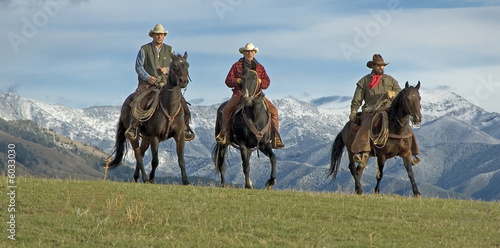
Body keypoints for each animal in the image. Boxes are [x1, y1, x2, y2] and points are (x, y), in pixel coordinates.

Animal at [106, 51, 190, 184]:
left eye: (187, 65)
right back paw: (145, 178)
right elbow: (155, 161)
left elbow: (181, 160)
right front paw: (151, 179)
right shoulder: (155, 136)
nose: (183, 81)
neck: (169, 108)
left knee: (141, 151)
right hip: (134, 135)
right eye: (175, 65)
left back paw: (136, 177)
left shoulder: (179, 135)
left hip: (146, 137)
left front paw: (186, 181)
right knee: (138, 154)